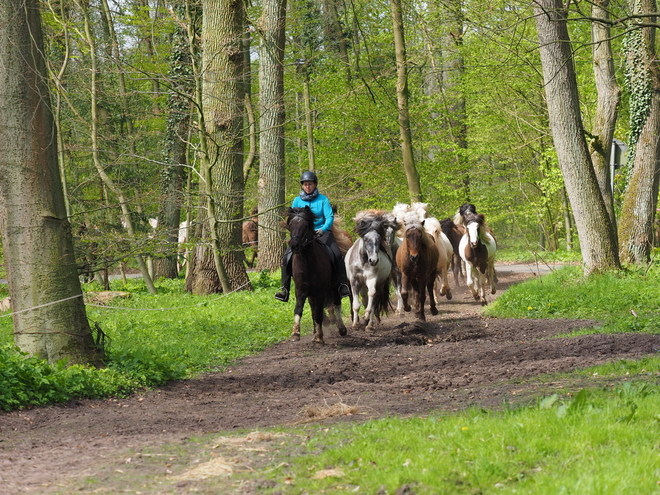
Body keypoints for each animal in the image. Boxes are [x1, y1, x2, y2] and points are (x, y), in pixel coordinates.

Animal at [284, 206, 348, 344]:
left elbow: (318, 313)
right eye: (290, 225)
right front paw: (295, 333)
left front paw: (319, 337)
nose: (294, 245)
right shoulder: (301, 290)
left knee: (336, 304)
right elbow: (299, 309)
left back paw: (341, 329)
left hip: (334, 287)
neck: (307, 262)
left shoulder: (320, 292)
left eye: (305, 225)